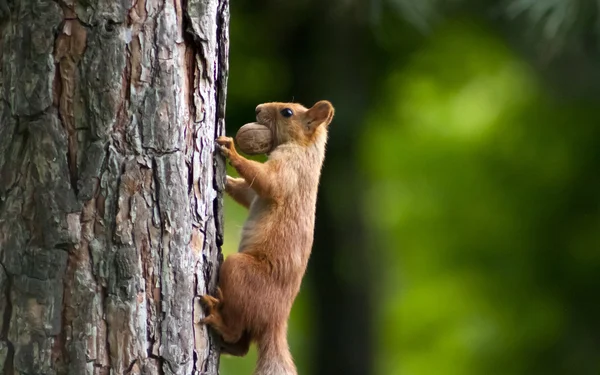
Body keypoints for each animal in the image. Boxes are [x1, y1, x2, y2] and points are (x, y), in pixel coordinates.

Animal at [200, 98, 332, 374]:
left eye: (287, 112)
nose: (258, 109)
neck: (306, 150)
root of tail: (276, 321)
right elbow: (248, 193)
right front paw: (225, 179)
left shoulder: (290, 169)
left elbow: (268, 181)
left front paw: (231, 150)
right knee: (243, 346)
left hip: (240, 272)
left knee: (237, 328)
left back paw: (218, 319)